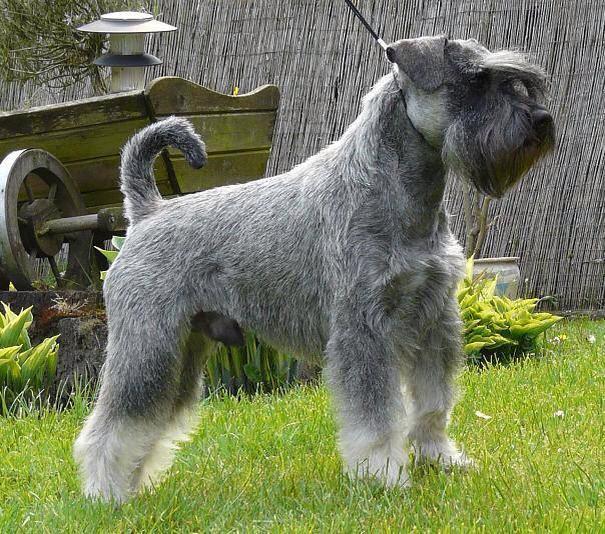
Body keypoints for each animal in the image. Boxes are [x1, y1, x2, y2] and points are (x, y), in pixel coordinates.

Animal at [74, 35, 555, 502]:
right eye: (476, 82)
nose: (541, 121)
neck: (398, 191)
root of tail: (146, 212)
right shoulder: (364, 329)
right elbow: (376, 416)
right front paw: (382, 475)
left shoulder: (435, 319)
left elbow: (433, 403)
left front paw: (440, 459)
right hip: (148, 344)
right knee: (113, 424)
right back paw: (106, 495)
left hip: (184, 348)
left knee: (149, 420)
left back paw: (130, 487)